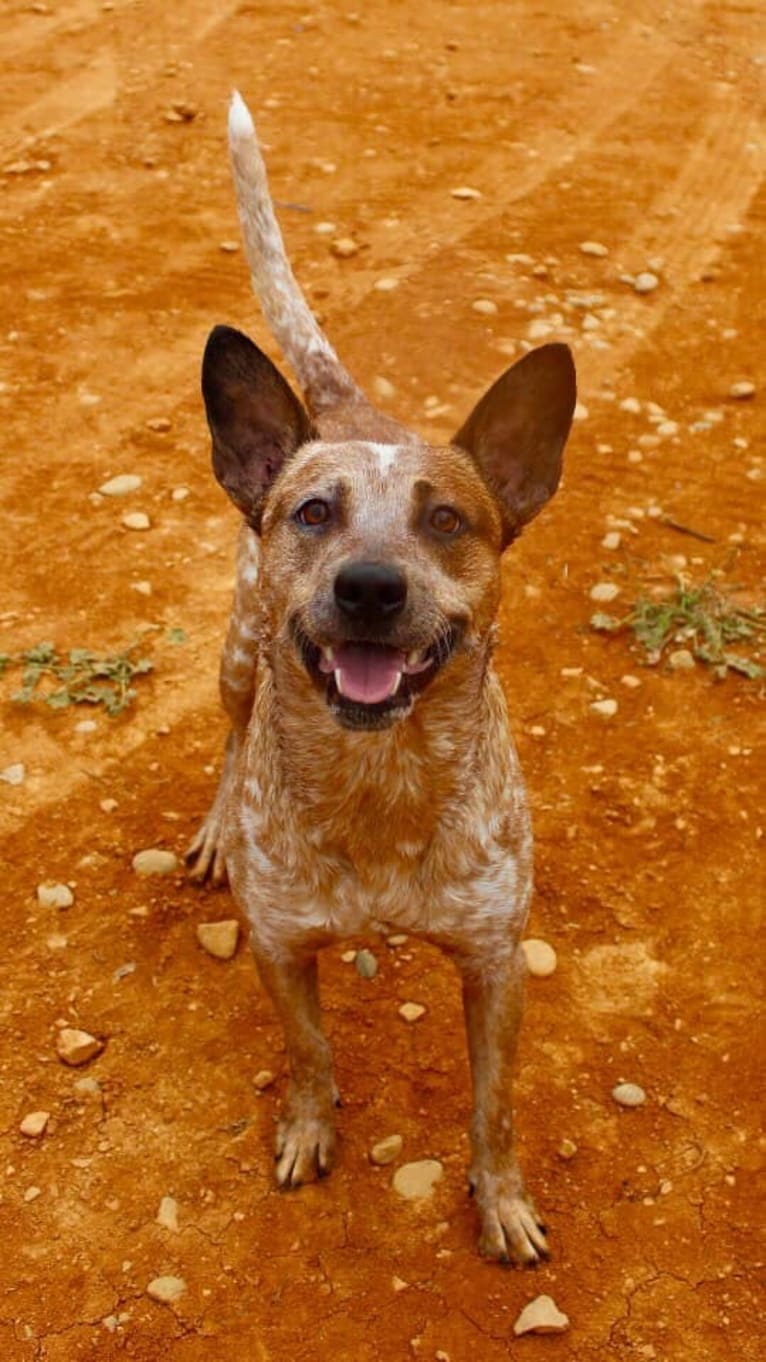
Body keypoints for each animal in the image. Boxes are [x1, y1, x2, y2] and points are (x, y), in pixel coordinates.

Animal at [186, 93, 572, 1263]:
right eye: (315, 513)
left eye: (446, 521)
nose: (367, 588)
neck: (381, 785)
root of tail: (349, 408)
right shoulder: (280, 947)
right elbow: (311, 1059)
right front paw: (310, 1131)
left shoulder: (496, 963)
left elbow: (494, 1108)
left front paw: (503, 1203)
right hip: (236, 653)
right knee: (233, 729)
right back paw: (217, 823)